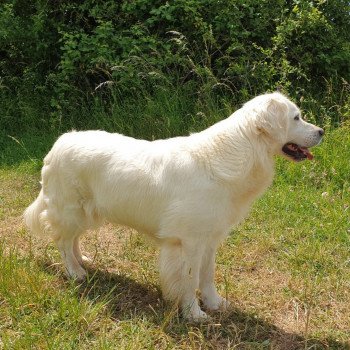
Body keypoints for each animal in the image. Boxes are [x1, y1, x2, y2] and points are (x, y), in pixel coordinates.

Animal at [23, 92, 324, 320]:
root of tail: (60, 142)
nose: (322, 131)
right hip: (71, 209)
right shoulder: (189, 241)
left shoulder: (210, 239)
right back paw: (75, 272)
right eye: (296, 117)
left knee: (72, 239)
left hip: (89, 213)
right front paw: (194, 315)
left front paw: (215, 304)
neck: (242, 153)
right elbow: (189, 280)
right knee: (62, 241)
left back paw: (82, 260)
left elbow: (207, 275)